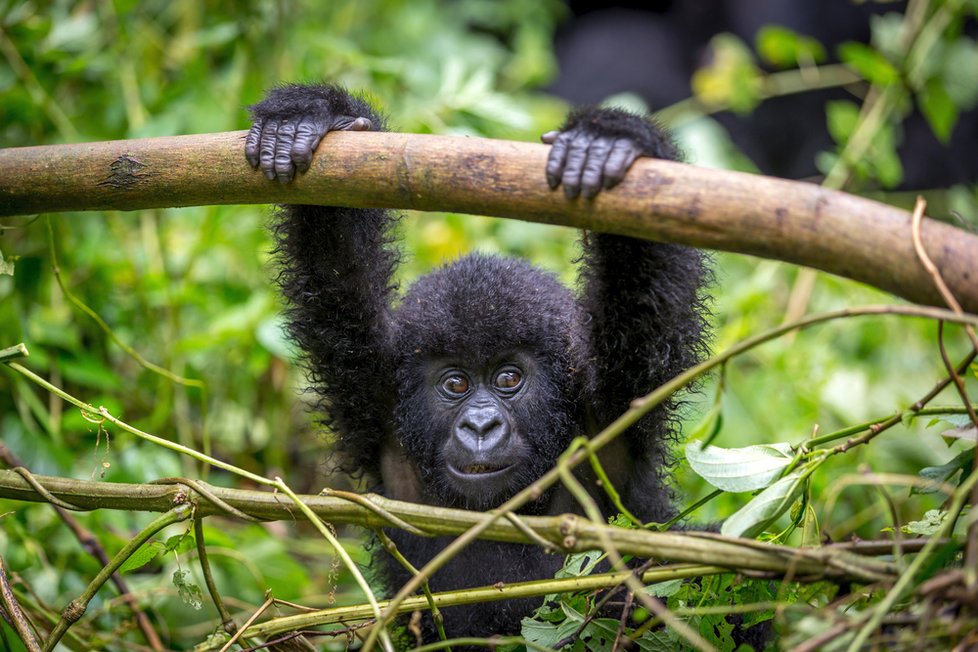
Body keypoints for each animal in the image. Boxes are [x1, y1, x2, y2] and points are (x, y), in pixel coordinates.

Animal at [248, 84, 704, 640]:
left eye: (509, 377)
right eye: (456, 384)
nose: (482, 426)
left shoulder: (615, 407)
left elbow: (644, 290)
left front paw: (611, 140)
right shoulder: (376, 396)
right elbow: (336, 270)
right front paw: (308, 119)